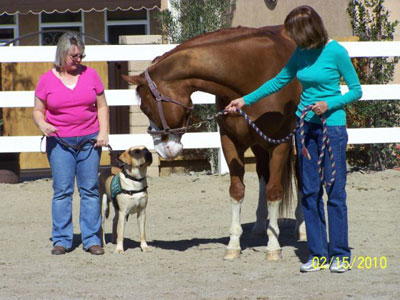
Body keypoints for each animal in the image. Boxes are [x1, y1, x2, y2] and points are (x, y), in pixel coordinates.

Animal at [123, 25, 304, 260]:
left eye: (145, 107)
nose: (163, 150)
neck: (253, 74)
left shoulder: (280, 143)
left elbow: (275, 191)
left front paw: (273, 247)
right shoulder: (230, 141)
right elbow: (237, 190)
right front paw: (233, 245)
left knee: (300, 176)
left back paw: (301, 227)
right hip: (259, 145)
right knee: (263, 174)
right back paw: (259, 225)